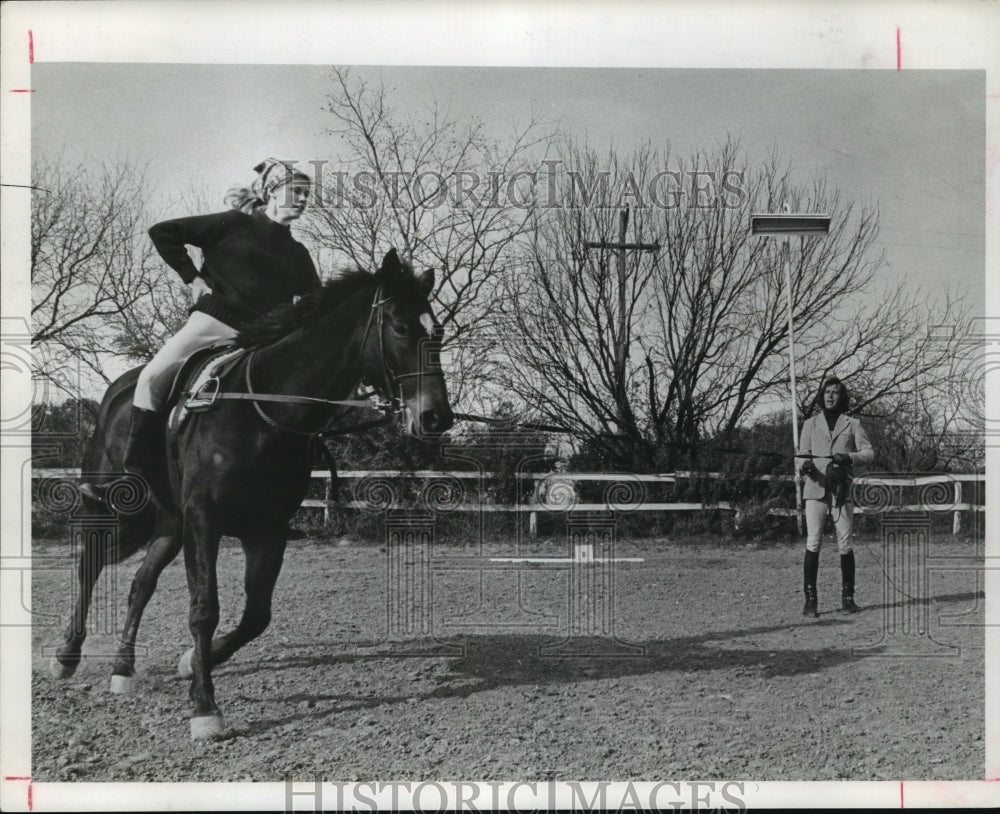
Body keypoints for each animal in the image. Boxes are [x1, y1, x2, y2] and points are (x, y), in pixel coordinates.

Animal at [48, 252, 452, 744]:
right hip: (120, 515)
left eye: (437, 332)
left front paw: (191, 662)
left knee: (140, 583)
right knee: (89, 567)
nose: (436, 417)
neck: (264, 412)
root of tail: (115, 395)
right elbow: (204, 609)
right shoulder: (205, 522)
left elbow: (256, 616)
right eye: (399, 327)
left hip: (169, 525)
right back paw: (67, 656)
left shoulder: (266, 530)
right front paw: (205, 707)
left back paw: (123, 669)